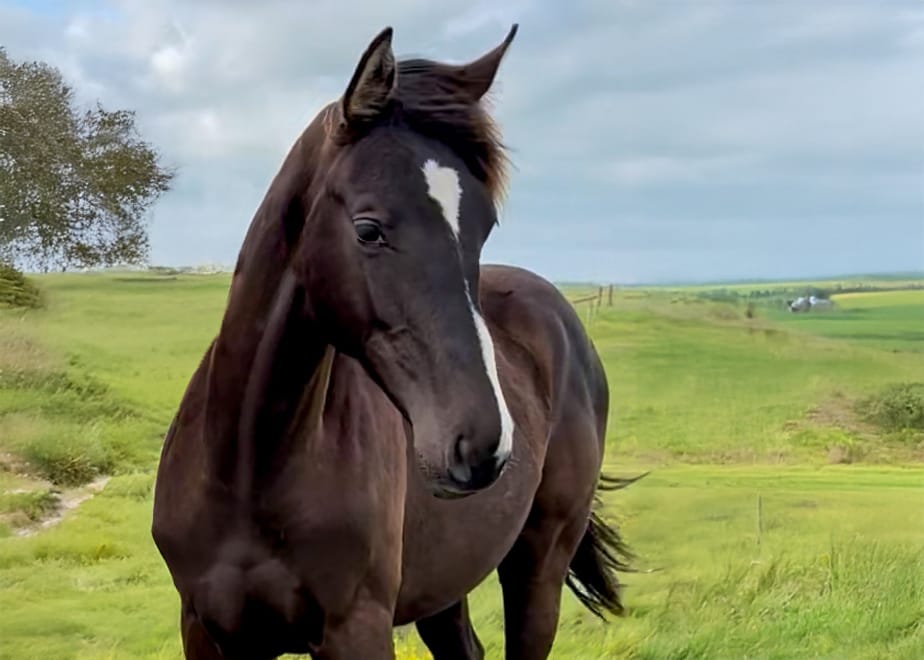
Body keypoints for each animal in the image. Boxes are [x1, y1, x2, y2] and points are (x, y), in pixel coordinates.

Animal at [152, 24, 637, 659]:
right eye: (368, 229)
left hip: (538, 567)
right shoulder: (205, 630)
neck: (248, 469)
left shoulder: (357, 628)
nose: (483, 444)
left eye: (483, 227)